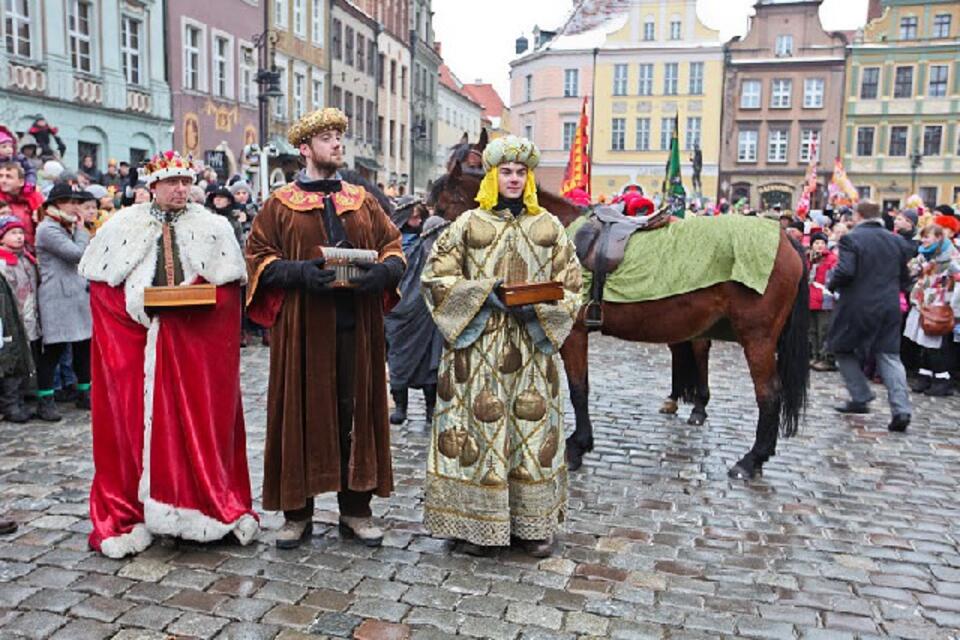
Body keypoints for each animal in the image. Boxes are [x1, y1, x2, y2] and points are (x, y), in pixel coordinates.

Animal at [430, 165, 808, 480]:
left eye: (445, 201)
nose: (432, 242)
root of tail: (787, 241)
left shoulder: (574, 333)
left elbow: (579, 389)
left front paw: (577, 446)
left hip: (757, 338)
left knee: (768, 395)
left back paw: (751, 459)